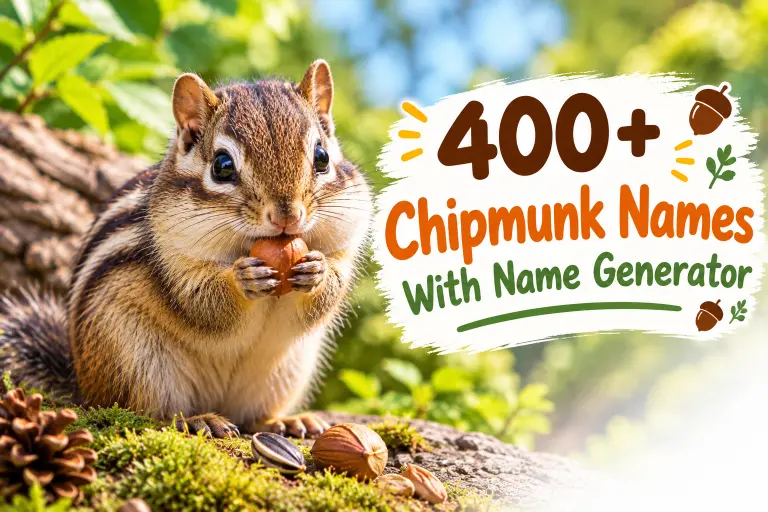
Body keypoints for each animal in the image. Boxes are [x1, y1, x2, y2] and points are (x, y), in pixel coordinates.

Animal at [0, 60, 372, 438]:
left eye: (321, 157)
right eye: (222, 166)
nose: (287, 215)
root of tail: (83, 384)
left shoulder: (346, 240)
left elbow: (329, 291)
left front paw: (317, 271)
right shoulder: (169, 257)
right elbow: (201, 303)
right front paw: (243, 279)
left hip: (284, 371)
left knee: (252, 415)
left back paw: (285, 421)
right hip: (134, 361)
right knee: (146, 412)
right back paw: (197, 420)